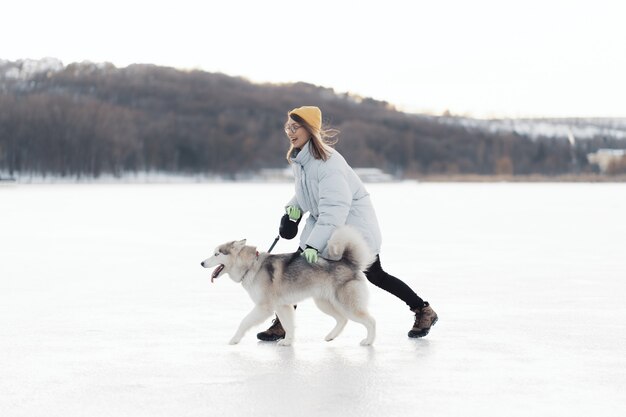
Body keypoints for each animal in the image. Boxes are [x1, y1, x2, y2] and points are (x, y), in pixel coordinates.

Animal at [201, 226, 376, 346]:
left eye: (216, 254)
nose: (201, 263)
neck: (251, 266)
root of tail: (348, 262)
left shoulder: (264, 307)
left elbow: (244, 321)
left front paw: (234, 339)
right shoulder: (283, 306)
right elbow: (288, 325)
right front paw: (288, 341)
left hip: (347, 305)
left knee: (371, 320)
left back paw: (369, 341)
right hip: (324, 303)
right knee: (342, 319)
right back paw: (331, 336)